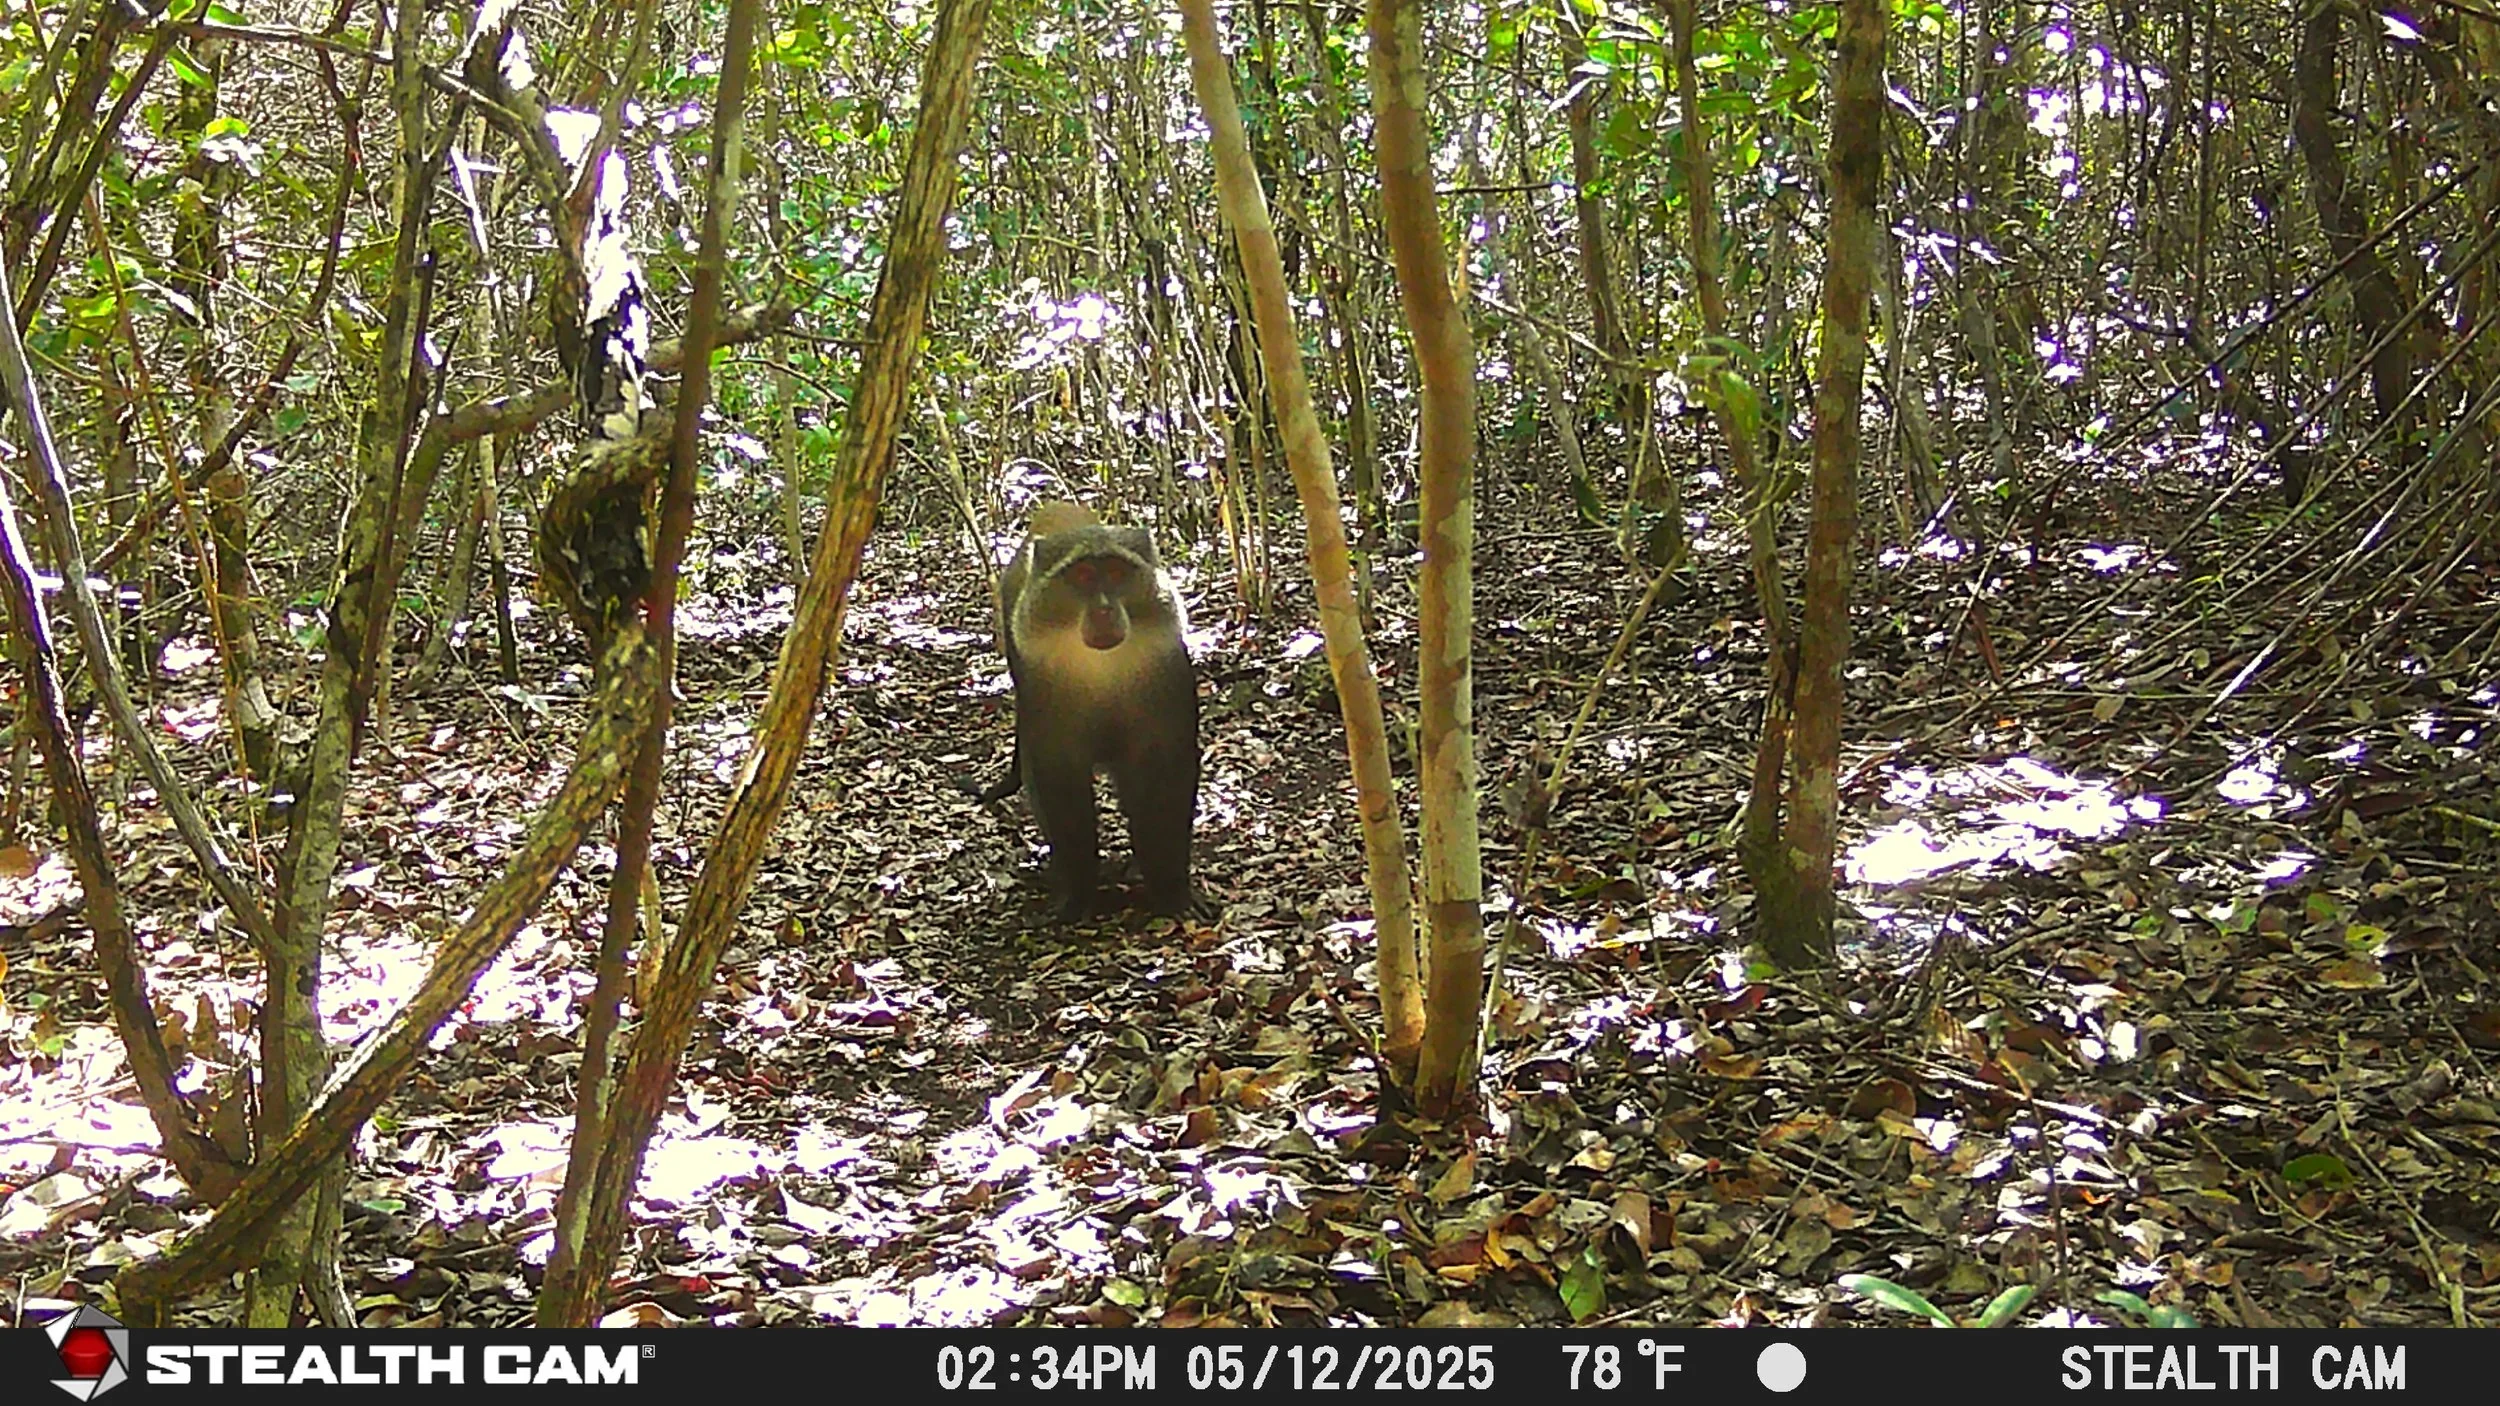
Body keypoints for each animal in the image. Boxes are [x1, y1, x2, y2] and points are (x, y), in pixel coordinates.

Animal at [976, 500, 1202, 920]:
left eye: (1114, 572)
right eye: (1082, 575)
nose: (1103, 610)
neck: (1100, 670)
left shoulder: (1165, 671)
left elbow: (1166, 767)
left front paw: (1171, 890)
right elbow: (1057, 776)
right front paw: (1078, 892)